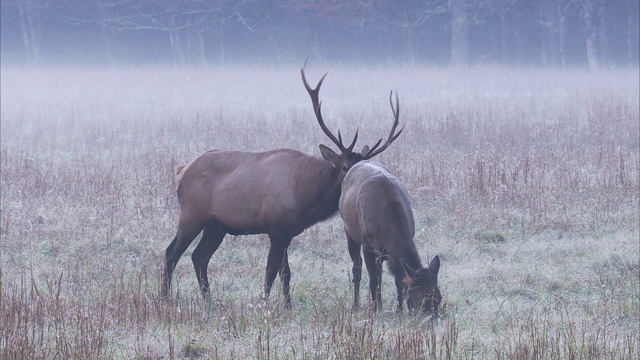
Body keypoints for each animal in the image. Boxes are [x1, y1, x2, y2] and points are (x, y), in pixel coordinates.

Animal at [164, 59, 404, 306]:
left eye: (363, 163)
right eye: (345, 166)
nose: (357, 180)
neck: (305, 199)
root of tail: (182, 170)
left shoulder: (287, 232)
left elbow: (278, 272)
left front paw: (276, 304)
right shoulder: (275, 227)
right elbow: (278, 270)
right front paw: (276, 305)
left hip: (216, 225)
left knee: (199, 256)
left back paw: (209, 301)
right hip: (192, 214)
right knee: (171, 253)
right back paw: (165, 298)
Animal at [340, 160, 440, 316]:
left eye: (439, 298)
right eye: (421, 300)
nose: (434, 318)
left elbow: (398, 280)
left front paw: (399, 310)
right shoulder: (367, 244)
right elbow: (373, 279)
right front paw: (376, 310)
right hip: (349, 232)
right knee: (357, 269)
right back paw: (356, 305)